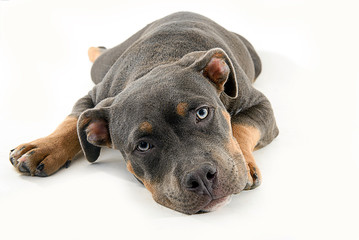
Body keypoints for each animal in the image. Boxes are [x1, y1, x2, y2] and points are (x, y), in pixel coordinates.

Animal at [7, 11, 278, 214]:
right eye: (143, 146)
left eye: (202, 113)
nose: (201, 176)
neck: (155, 66)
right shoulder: (94, 98)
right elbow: (72, 122)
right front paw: (44, 147)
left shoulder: (260, 105)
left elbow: (241, 127)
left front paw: (245, 163)